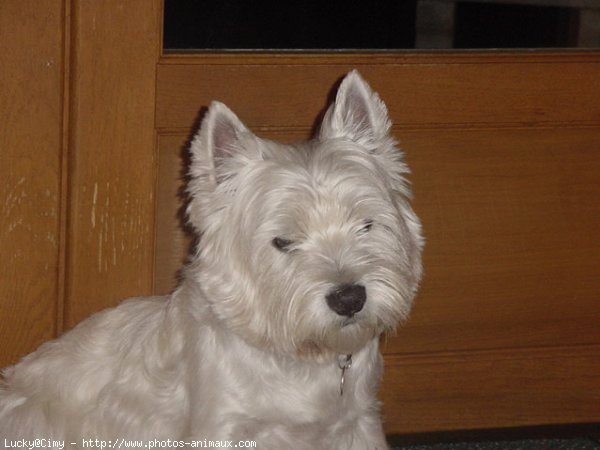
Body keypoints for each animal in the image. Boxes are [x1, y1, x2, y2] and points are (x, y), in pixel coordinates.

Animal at [0, 71, 422, 450]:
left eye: (366, 224)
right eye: (283, 241)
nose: (349, 298)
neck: (302, 358)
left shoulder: (358, 421)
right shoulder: (223, 425)